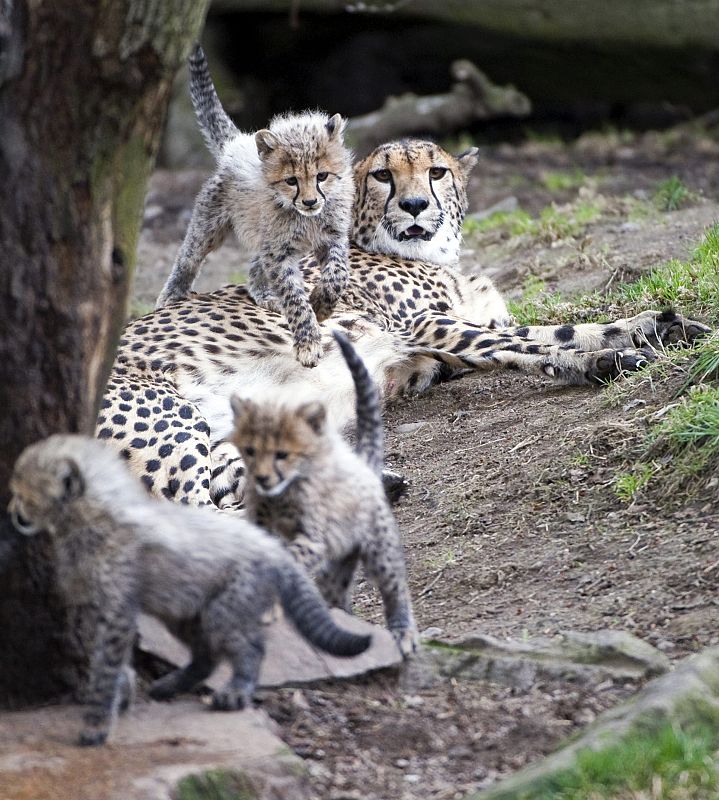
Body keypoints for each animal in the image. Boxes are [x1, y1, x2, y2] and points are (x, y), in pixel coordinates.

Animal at [98, 139, 712, 506]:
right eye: (382, 177)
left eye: (436, 172)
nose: (415, 206)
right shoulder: (420, 327)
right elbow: (528, 342)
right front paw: (604, 358)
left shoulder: (431, 351)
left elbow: (543, 330)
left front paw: (660, 324)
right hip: (169, 418)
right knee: (197, 517)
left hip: (218, 428)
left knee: (227, 492)